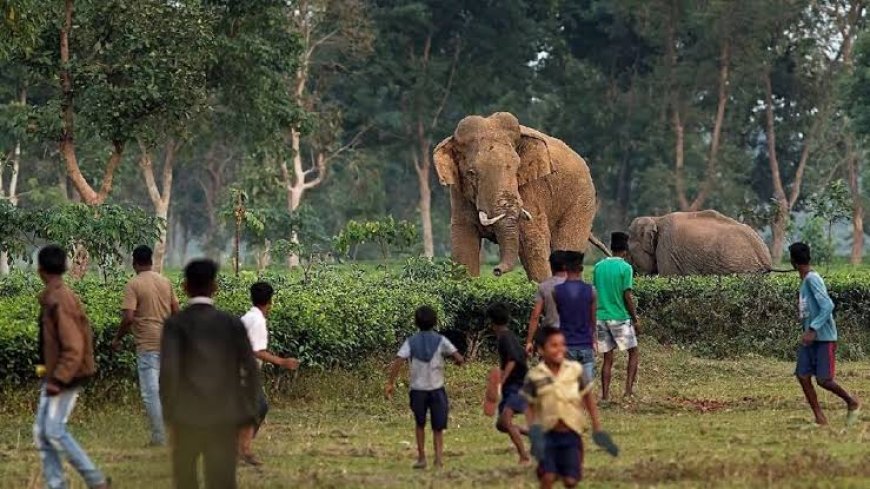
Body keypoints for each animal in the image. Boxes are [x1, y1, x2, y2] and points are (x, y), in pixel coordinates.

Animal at [434, 111, 604, 282]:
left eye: (517, 168)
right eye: (471, 173)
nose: (496, 270)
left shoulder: (530, 189)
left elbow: (532, 242)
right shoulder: (459, 195)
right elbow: (464, 247)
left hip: (581, 200)